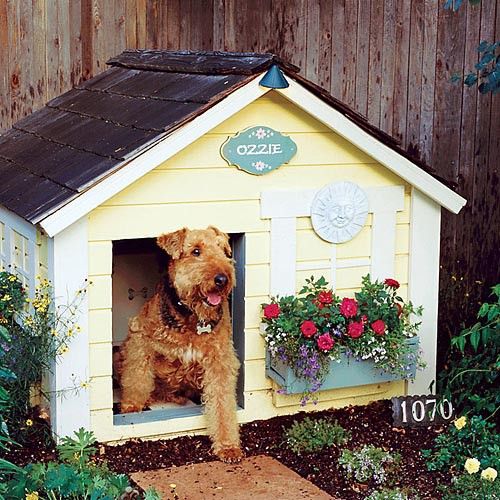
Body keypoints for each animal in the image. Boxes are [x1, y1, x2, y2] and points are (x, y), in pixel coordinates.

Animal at [117, 226, 242, 460]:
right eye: (195, 251)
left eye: (223, 250)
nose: (222, 279)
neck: (194, 318)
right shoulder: (141, 339)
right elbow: (137, 377)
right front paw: (130, 407)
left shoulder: (219, 360)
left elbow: (222, 403)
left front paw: (228, 447)